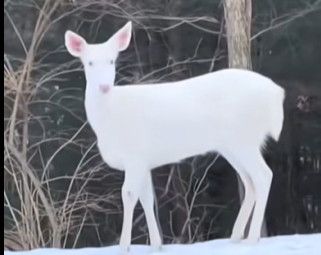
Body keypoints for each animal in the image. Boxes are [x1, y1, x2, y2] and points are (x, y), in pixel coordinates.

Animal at [64, 21, 282, 253]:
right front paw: (156, 245)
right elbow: (147, 198)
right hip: (232, 145)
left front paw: (124, 247)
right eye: (89, 62)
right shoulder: (144, 160)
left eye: (112, 60)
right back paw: (235, 237)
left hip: (243, 137)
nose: (104, 86)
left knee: (263, 175)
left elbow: (129, 195)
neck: (110, 118)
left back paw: (252, 238)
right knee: (250, 181)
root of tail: (277, 95)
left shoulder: (135, 156)